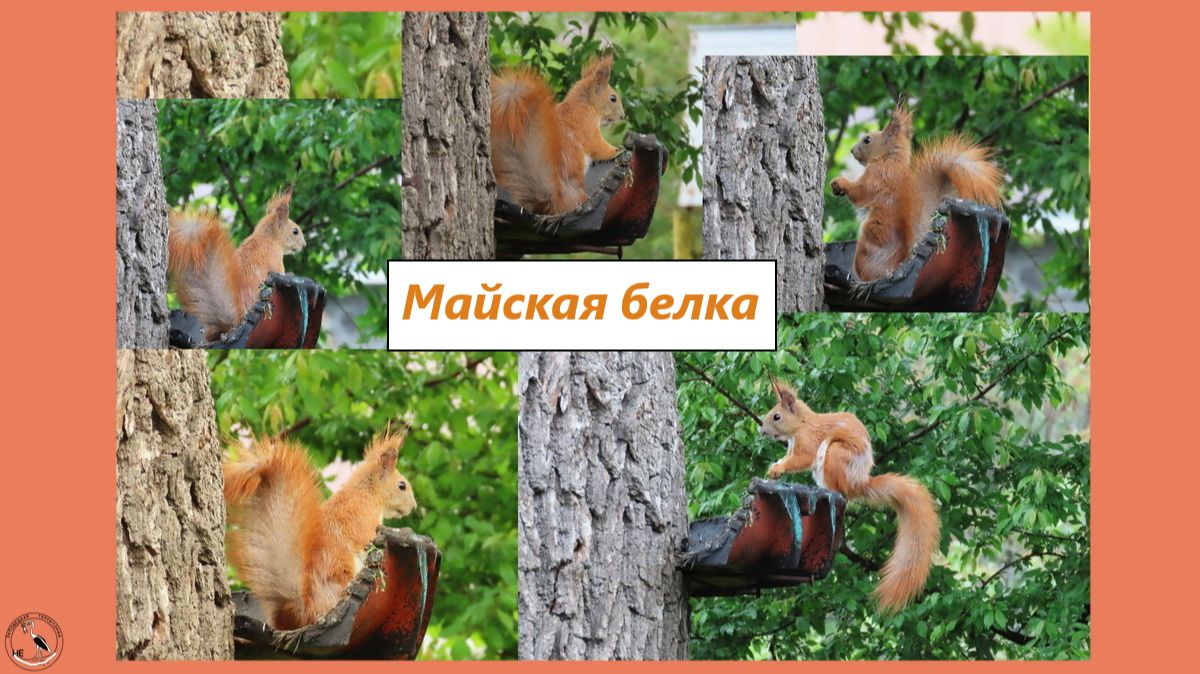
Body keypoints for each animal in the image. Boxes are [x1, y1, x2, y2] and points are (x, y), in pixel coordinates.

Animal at [222, 426, 416, 630]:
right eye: (402, 486)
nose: (413, 507)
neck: (367, 492)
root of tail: (305, 614)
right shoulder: (363, 515)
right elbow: (367, 536)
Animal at [491, 54, 625, 215]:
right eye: (613, 98)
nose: (623, 116)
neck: (585, 104)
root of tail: (555, 199)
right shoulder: (586, 124)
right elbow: (597, 145)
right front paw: (617, 150)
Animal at [760, 379, 940, 612]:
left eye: (776, 416)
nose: (762, 431)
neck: (801, 424)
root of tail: (859, 484)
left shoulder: (808, 441)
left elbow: (802, 458)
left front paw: (777, 468)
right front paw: (774, 467)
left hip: (834, 455)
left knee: (842, 491)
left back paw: (832, 491)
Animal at [830, 100, 1003, 282]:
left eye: (867, 140)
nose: (851, 150)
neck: (890, 158)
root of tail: (899, 263)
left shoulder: (879, 175)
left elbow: (860, 193)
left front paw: (839, 183)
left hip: (867, 247)